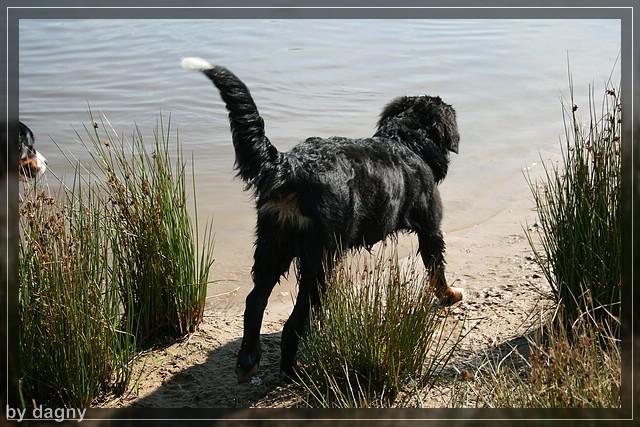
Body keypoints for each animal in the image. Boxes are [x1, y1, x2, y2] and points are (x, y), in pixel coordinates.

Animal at [182, 56, 462, 382]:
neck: (406, 142)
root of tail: (291, 166)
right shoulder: (431, 229)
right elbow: (437, 271)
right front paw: (450, 295)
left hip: (271, 247)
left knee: (254, 303)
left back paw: (248, 361)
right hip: (319, 261)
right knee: (293, 323)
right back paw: (294, 371)